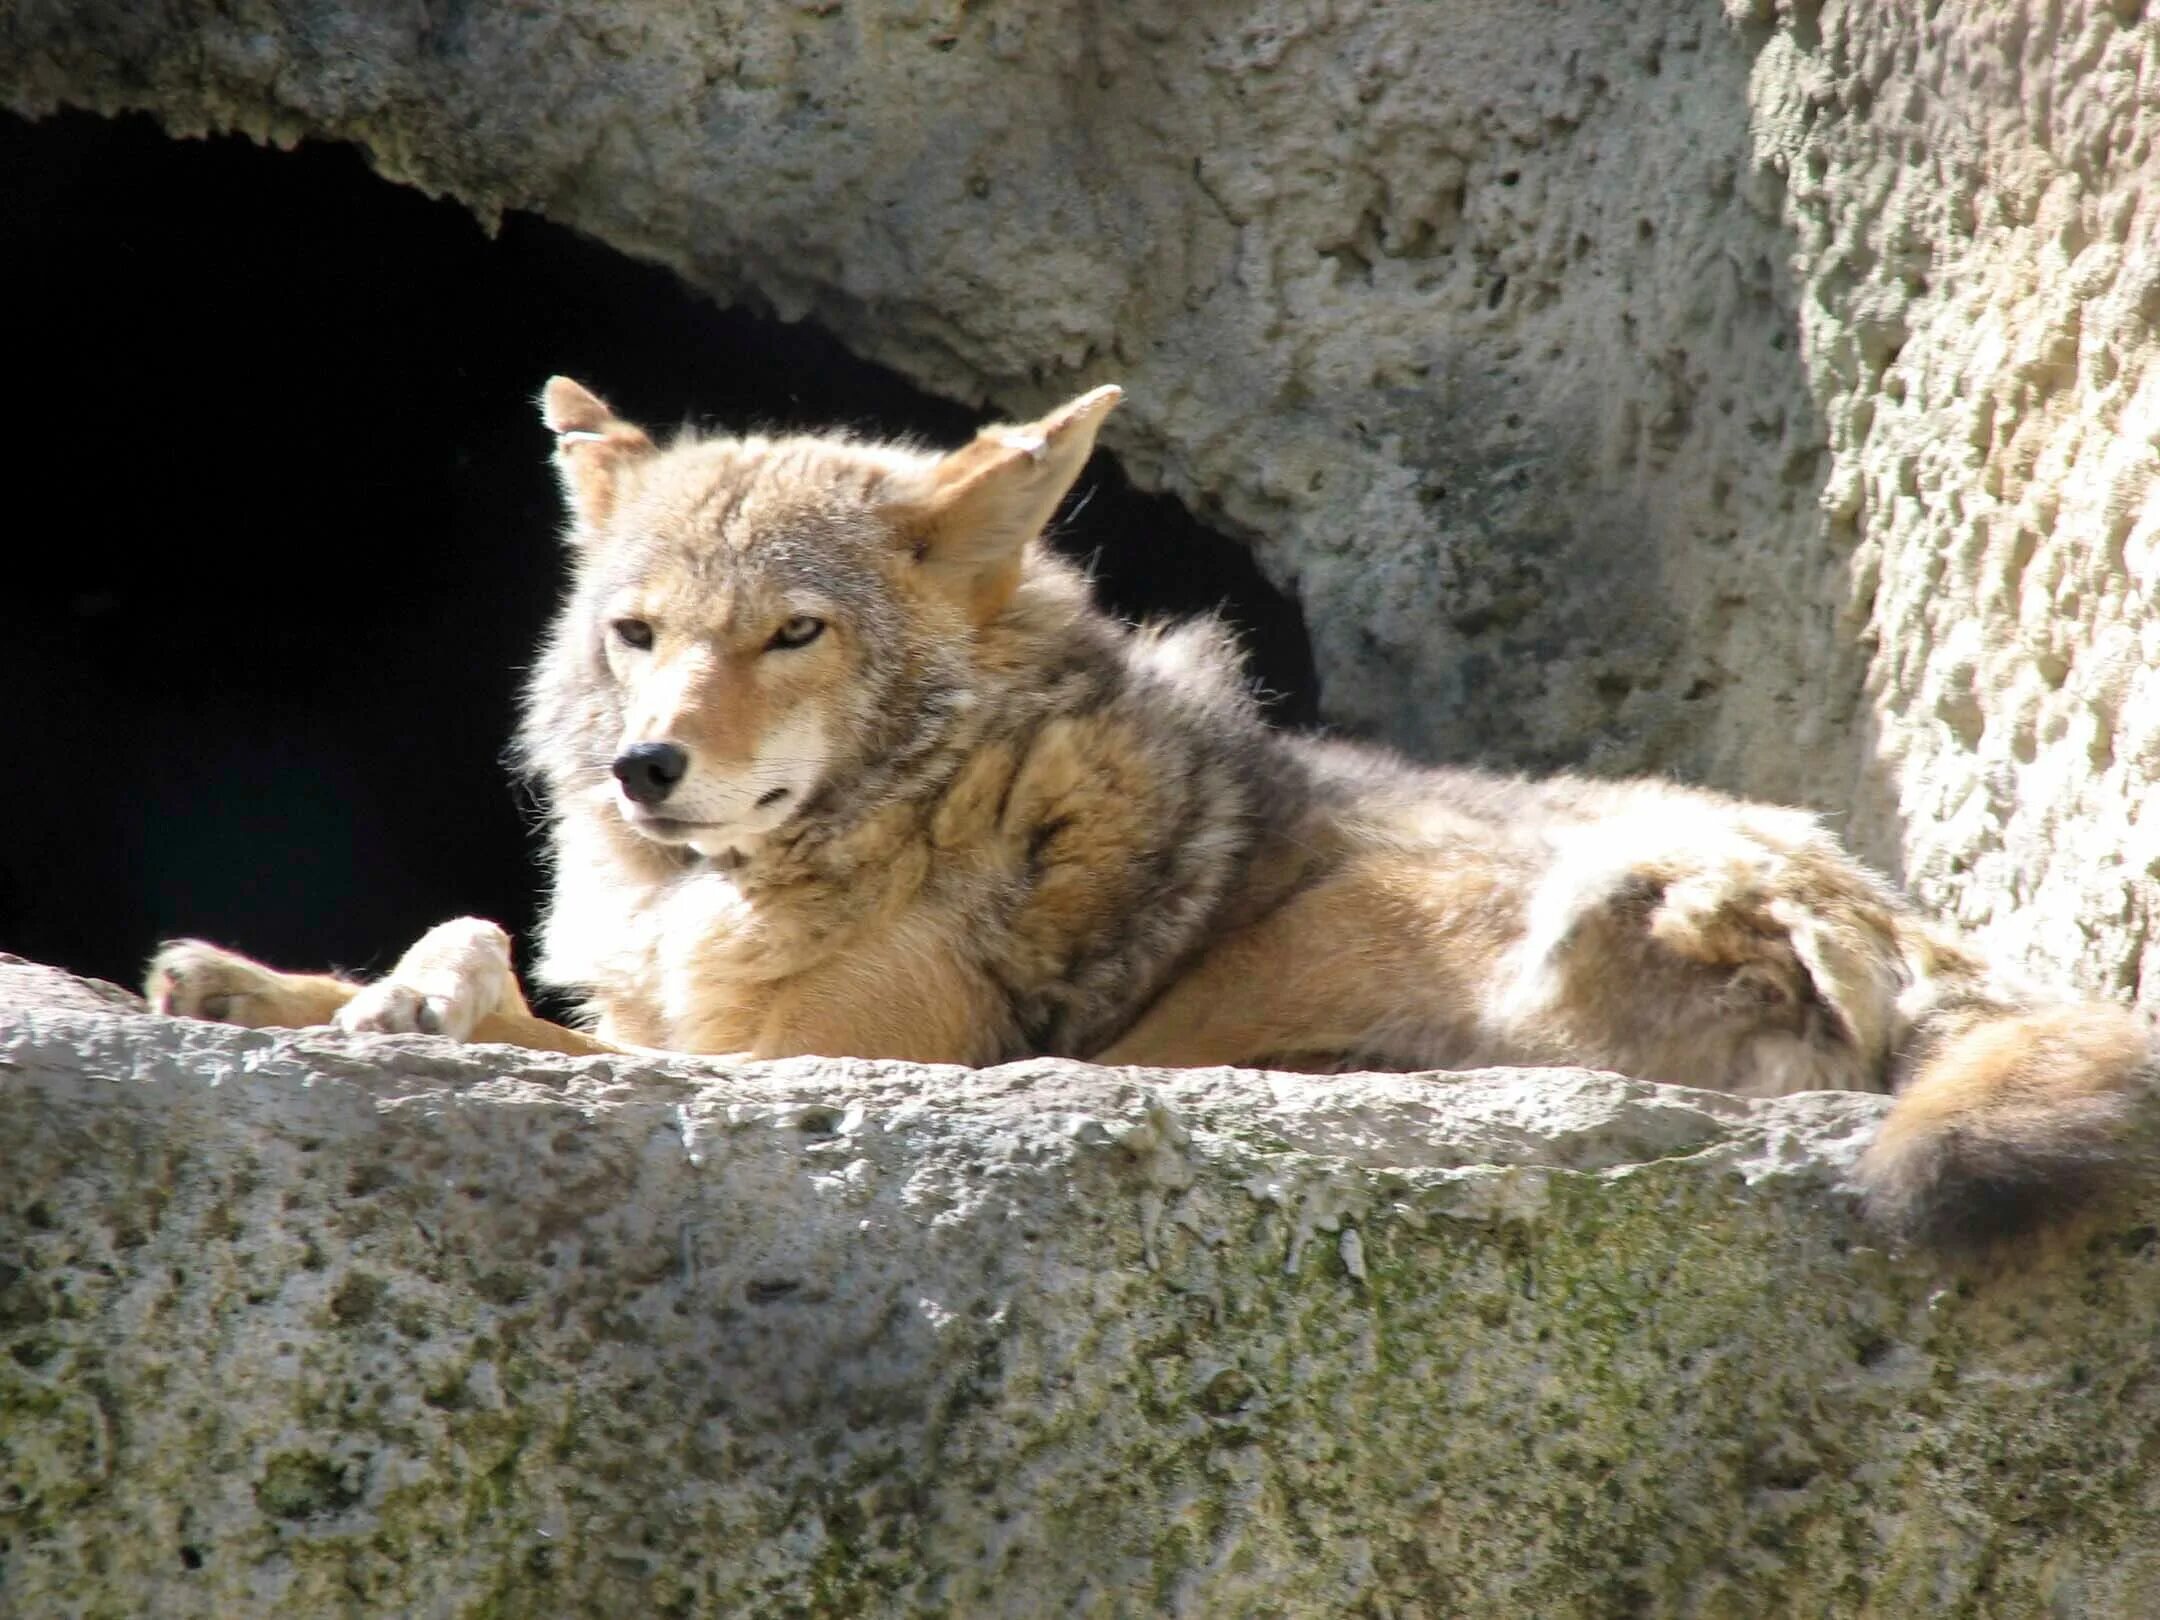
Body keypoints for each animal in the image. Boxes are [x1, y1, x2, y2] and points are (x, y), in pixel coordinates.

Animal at [143, 373, 2151, 1252]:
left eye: (791, 634)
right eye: (636, 636)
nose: (649, 769)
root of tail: (1937, 944)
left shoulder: (829, 1060)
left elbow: (492, 977)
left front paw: (413, 1003)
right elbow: (432, 956)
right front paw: (250, 984)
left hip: (1568, 900)